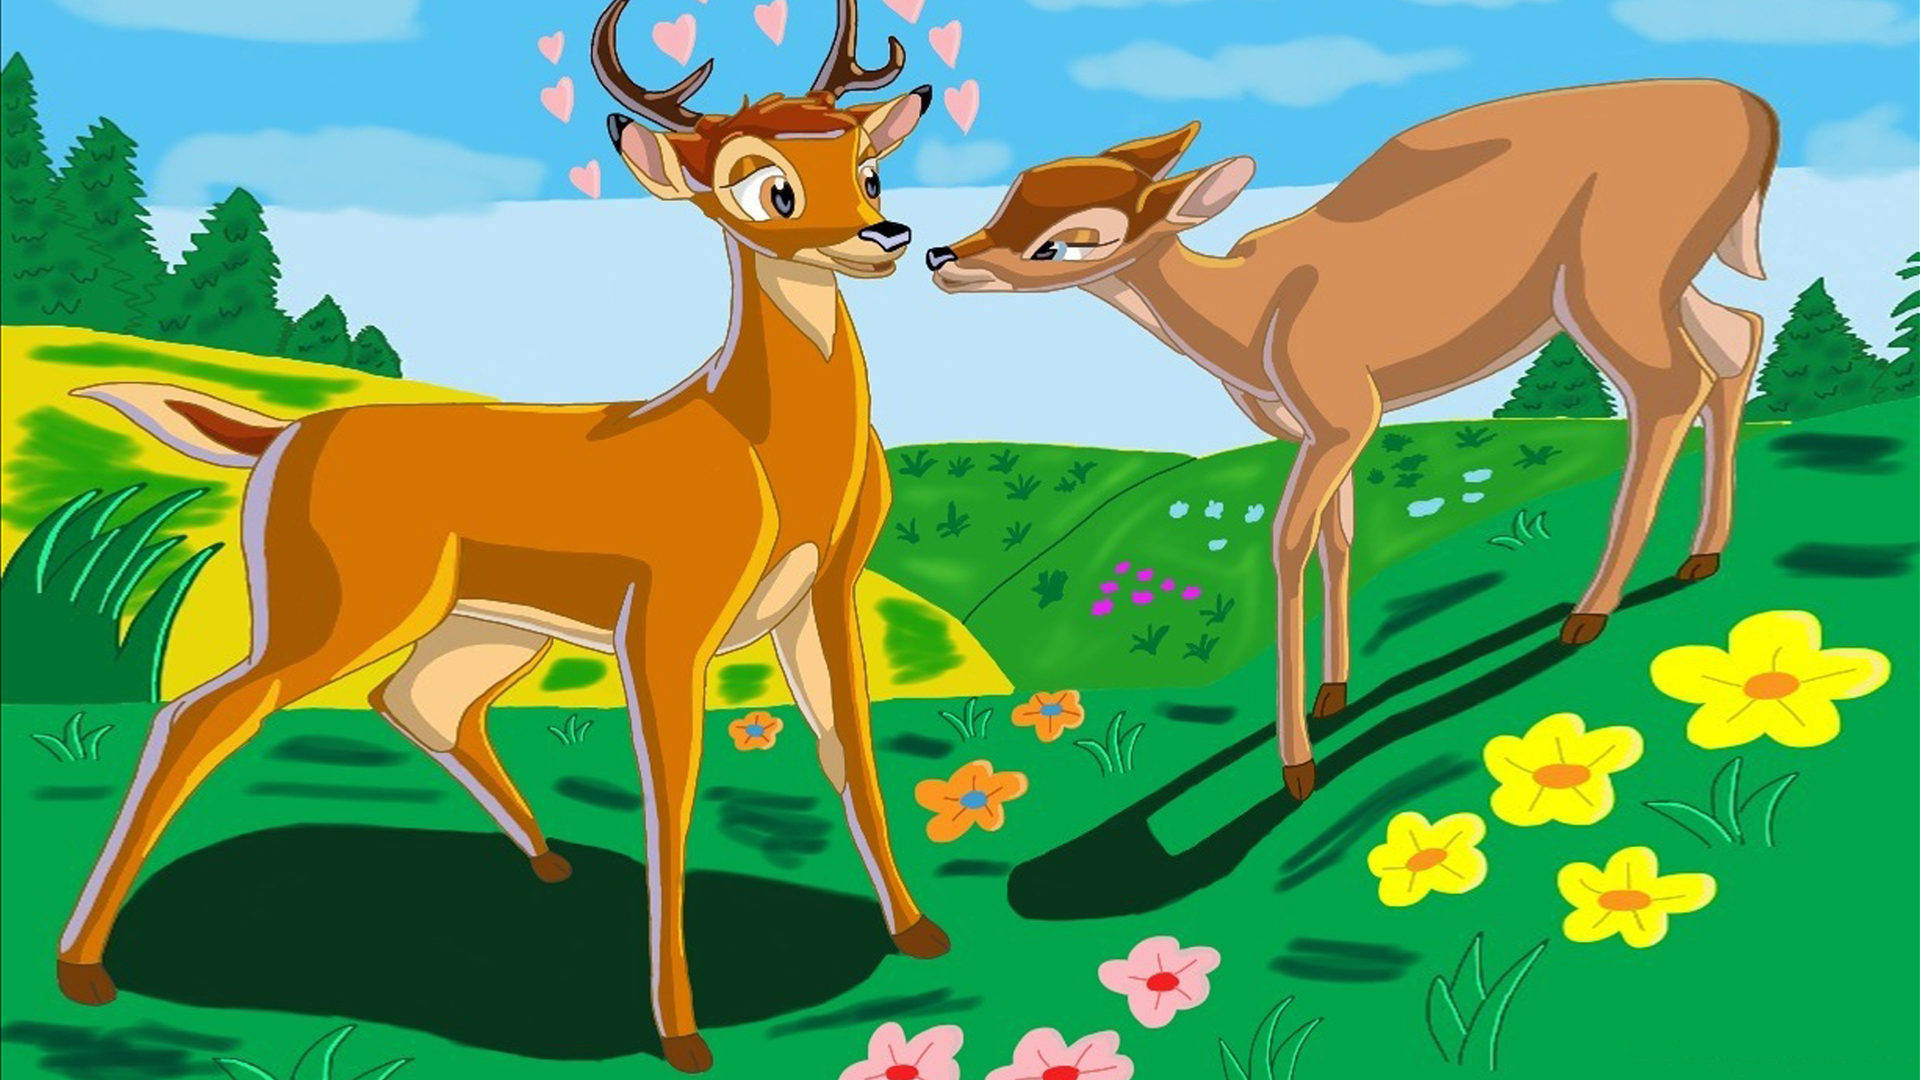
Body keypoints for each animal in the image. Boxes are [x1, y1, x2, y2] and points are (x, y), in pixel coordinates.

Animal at [54, 0, 942, 1070]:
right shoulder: (668, 614)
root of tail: (281, 437)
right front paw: (680, 1032)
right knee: (197, 714)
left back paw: (551, 862)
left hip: (485, 623)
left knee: (414, 701)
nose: (885, 233)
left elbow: (849, 750)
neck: (764, 451)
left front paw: (916, 931)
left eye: (868, 166)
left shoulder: (822, 593)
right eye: (764, 186)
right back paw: (82, 969)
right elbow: (671, 795)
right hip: (338, 604)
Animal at [927, 79, 1778, 802]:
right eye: (1013, 191)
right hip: (1658, 278)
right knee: (1736, 337)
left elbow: (1287, 540)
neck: (1248, 325)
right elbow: (1341, 535)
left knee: (1670, 385)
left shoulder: (1340, 408)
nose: (941, 256)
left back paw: (1589, 612)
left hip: (1613, 277)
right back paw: (1701, 556)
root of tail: (1758, 111)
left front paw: (1295, 766)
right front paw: (1334, 695)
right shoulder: (1326, 424)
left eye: (1066, 244)